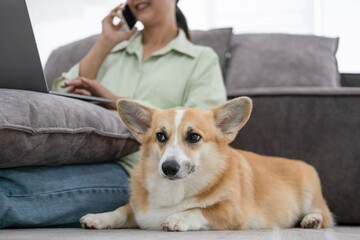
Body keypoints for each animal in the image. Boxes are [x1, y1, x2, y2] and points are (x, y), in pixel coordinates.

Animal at [80, 97, 334, 231]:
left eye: (194, 137)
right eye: (160, 136)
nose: (168, 168)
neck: (175, 191)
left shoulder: (232, 212)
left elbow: (200, 210)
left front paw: (178, 218)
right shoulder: (138, 210)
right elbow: (121, 211)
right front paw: (99, 217)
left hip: (311, 195)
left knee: (322, 214)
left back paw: (311, 220)